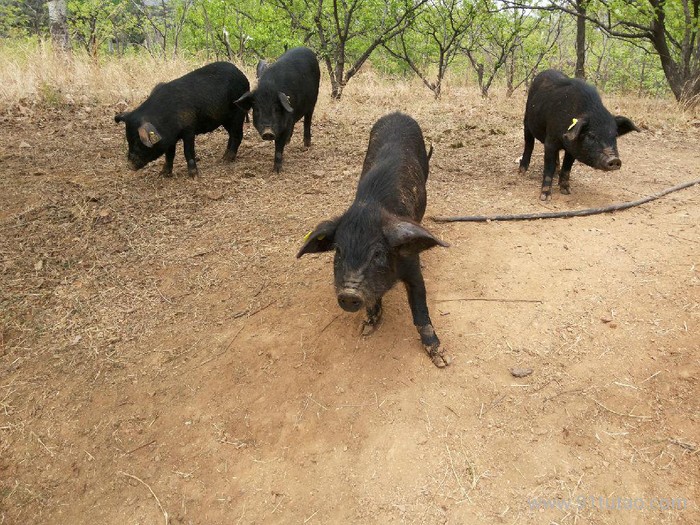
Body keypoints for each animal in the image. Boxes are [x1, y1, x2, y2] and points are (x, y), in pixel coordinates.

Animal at [117, 61, 252, 176]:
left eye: (137, 141)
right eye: (128, 140)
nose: (129, 166)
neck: (165, 118)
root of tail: (243, 76)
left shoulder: (189, 129)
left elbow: (188, 151)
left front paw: (193, 175)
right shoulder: (170, 138)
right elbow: (169, 154)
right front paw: (163, 174)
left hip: (238, 113)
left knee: (237, 134)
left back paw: (227, 160)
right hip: (225, 119)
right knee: (232, 135)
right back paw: (223, 158)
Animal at [294, 112, 448, 366]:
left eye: (377, 253)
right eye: (338, 250)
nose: (348, 294)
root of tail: (398, 113)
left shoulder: (412, 265)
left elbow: (420, 307)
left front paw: (441, 358)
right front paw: (366, 329)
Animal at [520, 68, 640, 200]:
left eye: (614, 135)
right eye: (591, 135)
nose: (614, 159)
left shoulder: (573, 148)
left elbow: (567, 168)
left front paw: (567, 191)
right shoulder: (550, 141)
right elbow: (548, 167)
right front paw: (545, 197)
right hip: (526, 121)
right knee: (529, 144)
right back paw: (522, 171)